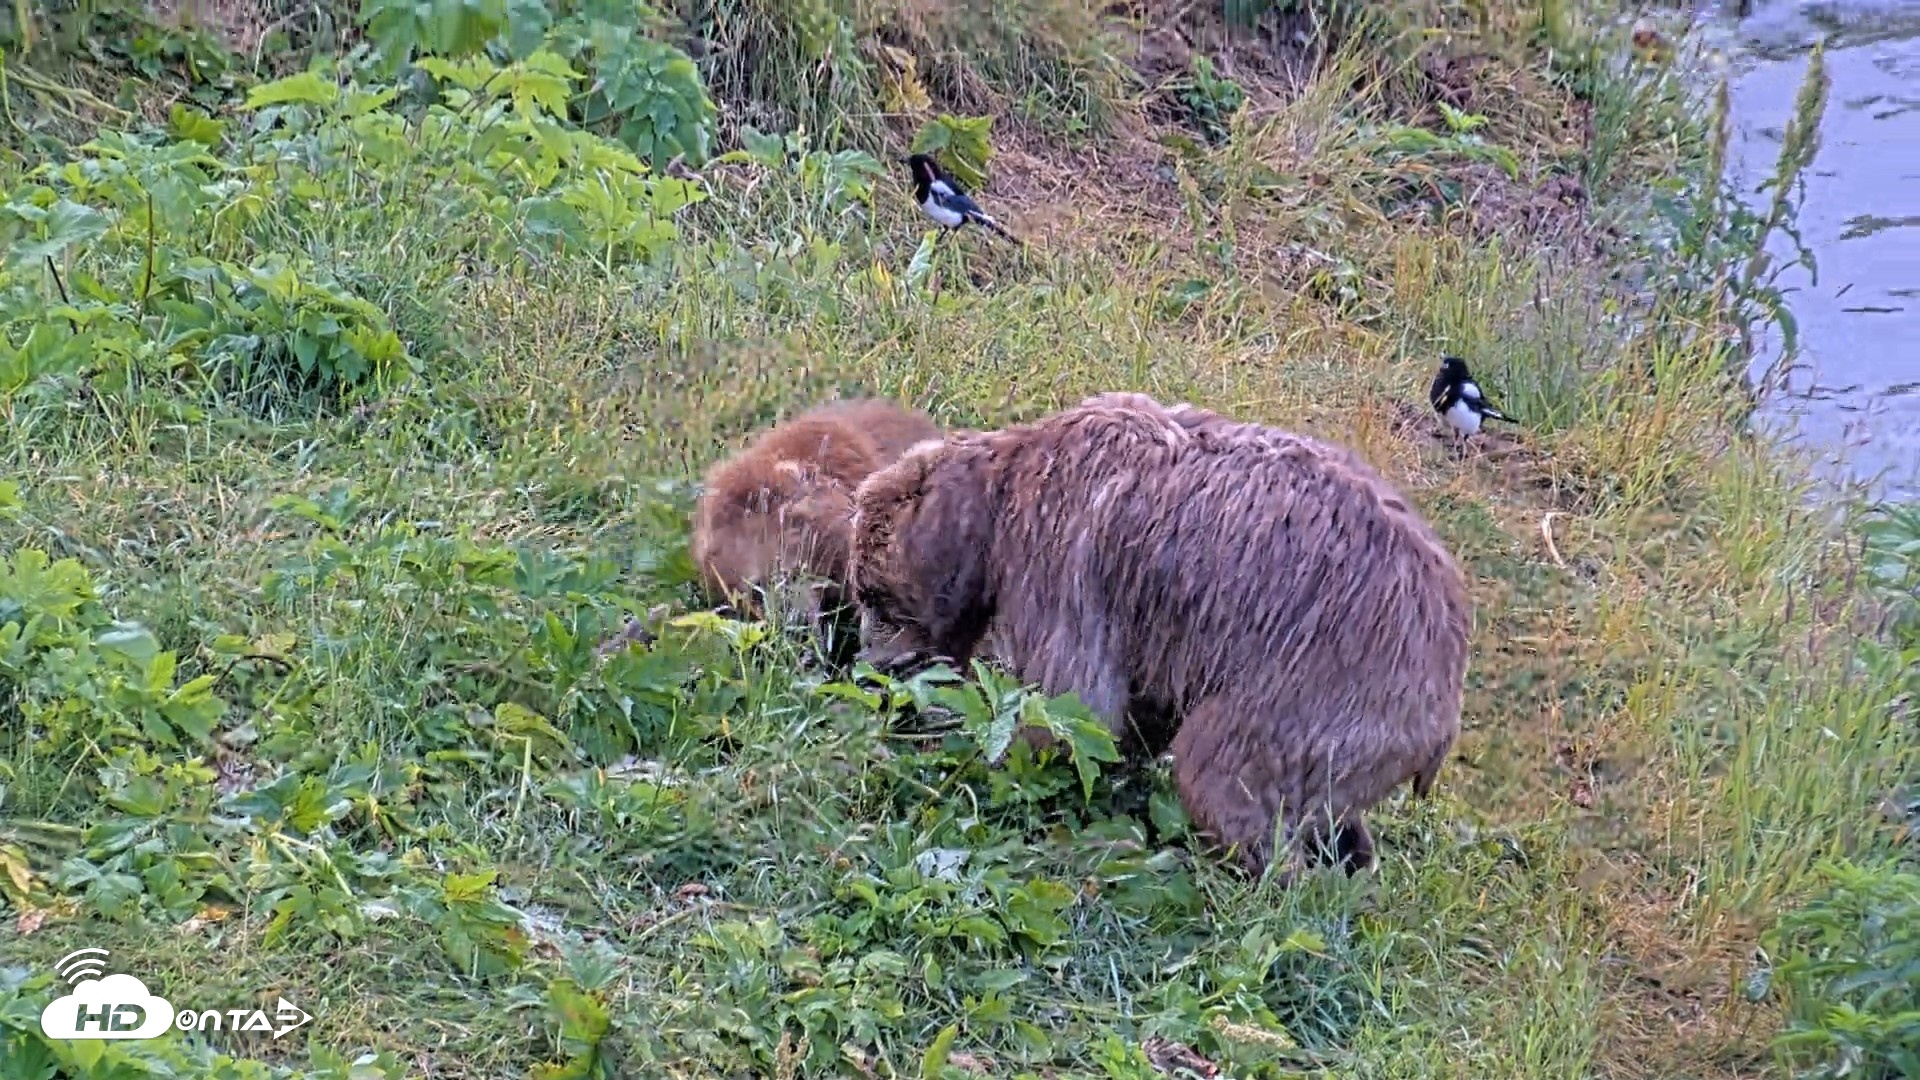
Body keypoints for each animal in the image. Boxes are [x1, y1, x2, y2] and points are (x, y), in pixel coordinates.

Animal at [845, 394, 1470, 881]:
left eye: (872, 596)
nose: (868, 669)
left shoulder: (1065, 554)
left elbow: (1073, 699)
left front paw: (963, 756)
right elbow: (1135, 707)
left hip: (1322, 683)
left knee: (1224, 773)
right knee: (1324, 807)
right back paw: (1352, 861)